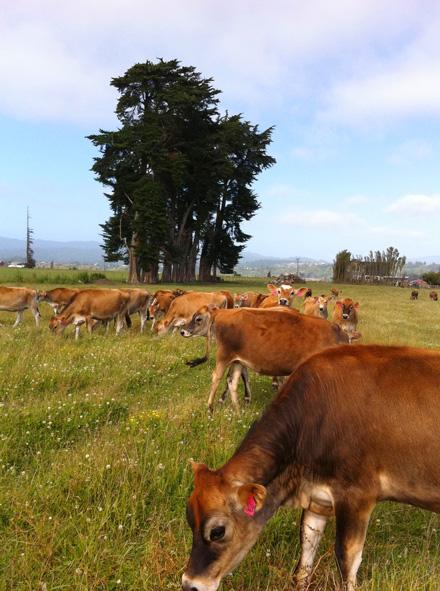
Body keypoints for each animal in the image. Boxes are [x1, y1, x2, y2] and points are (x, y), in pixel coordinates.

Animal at [179, 306, 354, 412]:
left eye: (198, 318)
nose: (182, 331)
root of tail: (222, 312)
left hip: (237, 360)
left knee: (232, 382)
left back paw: (237, 410)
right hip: (224, 356)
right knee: (216, 377)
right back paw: (210, 407)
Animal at [183, 344, 440, 591]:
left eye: (218, 531)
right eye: (189, 521)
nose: (190, 584)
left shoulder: (357, 496)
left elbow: (347, 560)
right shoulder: (318, 499)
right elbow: (305, 555)